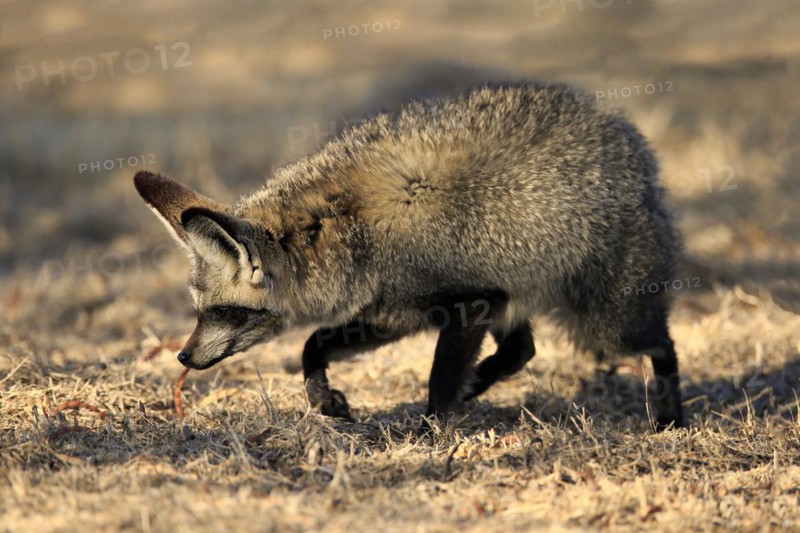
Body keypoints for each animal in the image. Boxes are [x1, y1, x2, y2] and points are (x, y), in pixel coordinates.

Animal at [134, 82, 684, 429]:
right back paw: (479, 385)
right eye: (200, 312)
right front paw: (324, 399)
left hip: (605, 326)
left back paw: (671, 418)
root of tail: (622, 132)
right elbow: (312, 343)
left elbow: (439, 380)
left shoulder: (469, 305)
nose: (183, 355)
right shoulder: (394, 312)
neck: (349, 229)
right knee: (520, 351)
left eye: (227, 313)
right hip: (519, 300)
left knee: (661, 346)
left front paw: (431, 431)